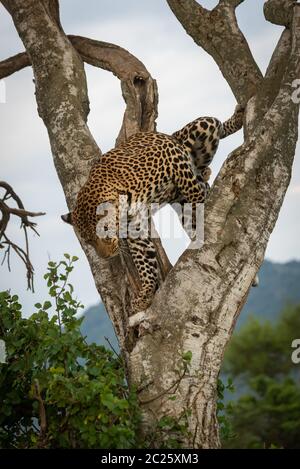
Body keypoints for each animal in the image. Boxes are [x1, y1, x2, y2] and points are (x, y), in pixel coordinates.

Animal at [62, 104, 245, 312]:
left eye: (105, 233)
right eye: (88, 241)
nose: (107, 256)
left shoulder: (171, 156)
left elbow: (192, 189)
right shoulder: (134, 226)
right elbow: (144, 259)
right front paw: (146, 294)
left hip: (198, 128)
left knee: (215, 129)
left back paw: (237, 119)